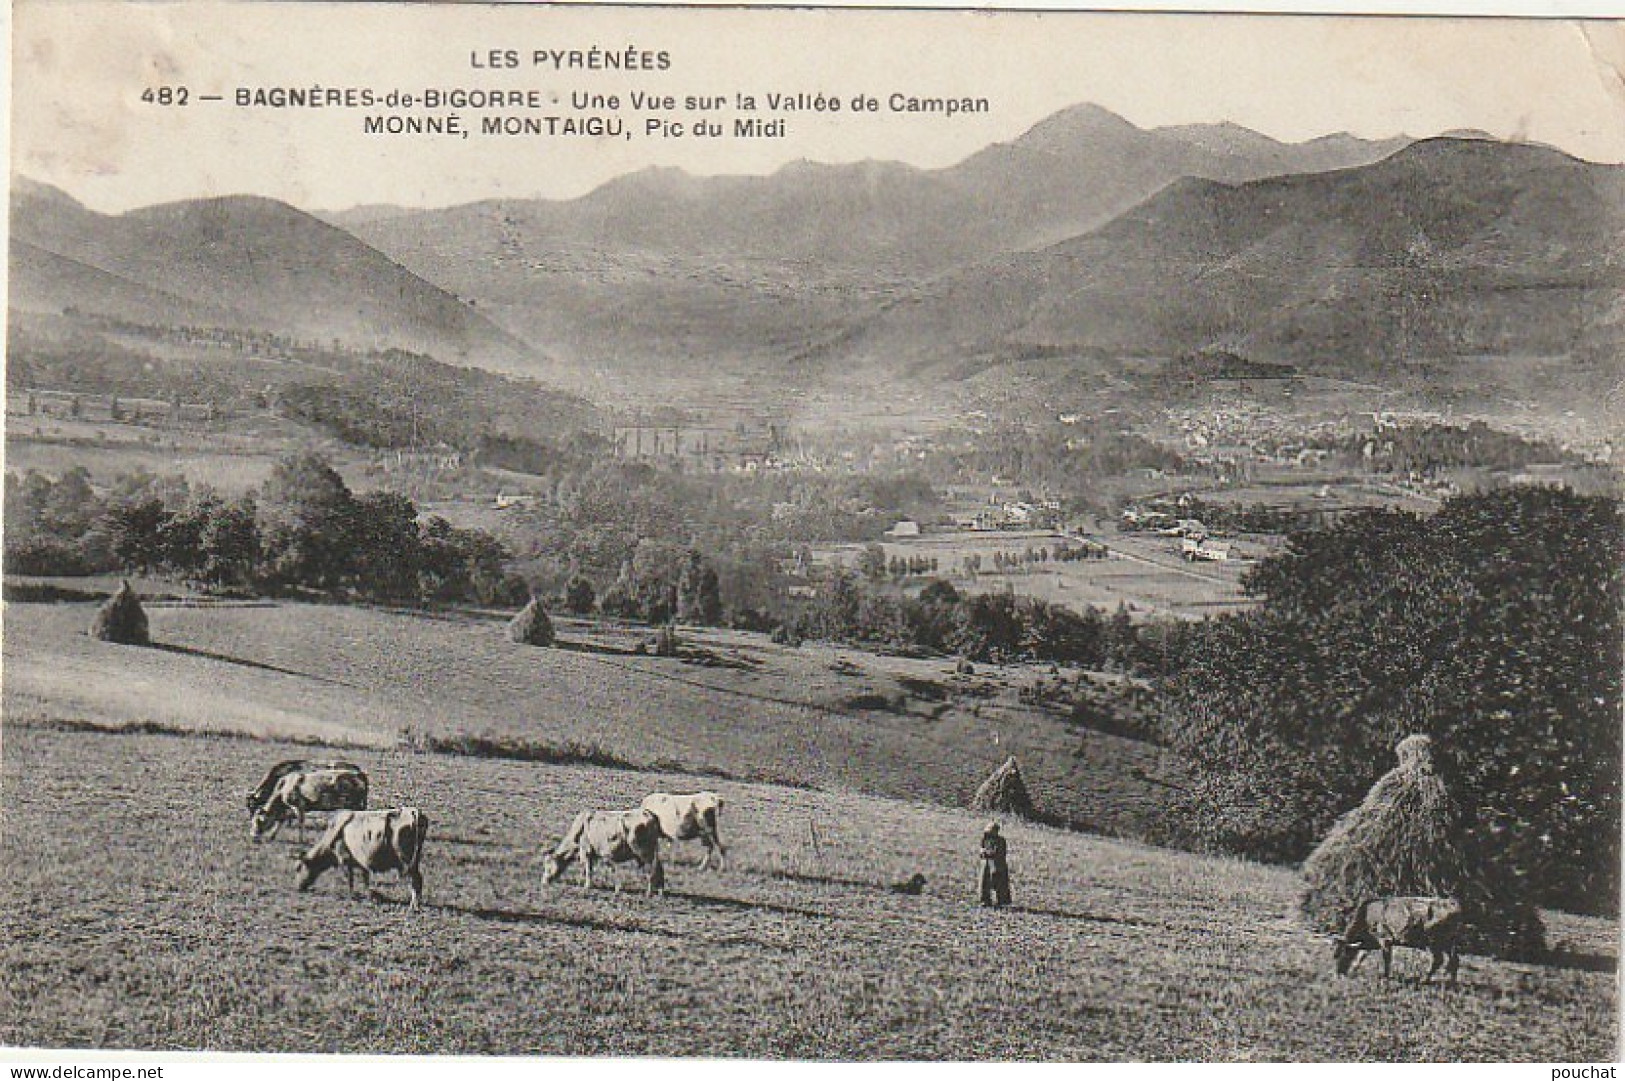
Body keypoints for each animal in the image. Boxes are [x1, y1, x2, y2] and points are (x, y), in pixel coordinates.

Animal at [295, 806, 429, 903]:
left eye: (298, 868)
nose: (298, 888)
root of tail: (413, 812)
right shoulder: (361, 862)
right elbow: (365, 878)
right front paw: (368, 894)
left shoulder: (344, 859)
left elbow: (349, 878)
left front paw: (352, 896)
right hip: (415, 859)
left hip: (406, 858)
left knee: (416, 879)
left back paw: (414, 905)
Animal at [1339, 890, 1469, 988]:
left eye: (1341, 954)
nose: (1339, 972)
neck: (1366, 914)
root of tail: (1453, 904)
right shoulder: (1373, 941)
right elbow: (1362, 954)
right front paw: (1354, 970)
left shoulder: (1384, 939)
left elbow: (1386, 960)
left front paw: (1385, 977)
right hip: (1448, 942)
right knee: (1454, 960)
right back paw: (1452, 983)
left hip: (1434, 941)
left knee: (1438, 960)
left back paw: (1424, 980)